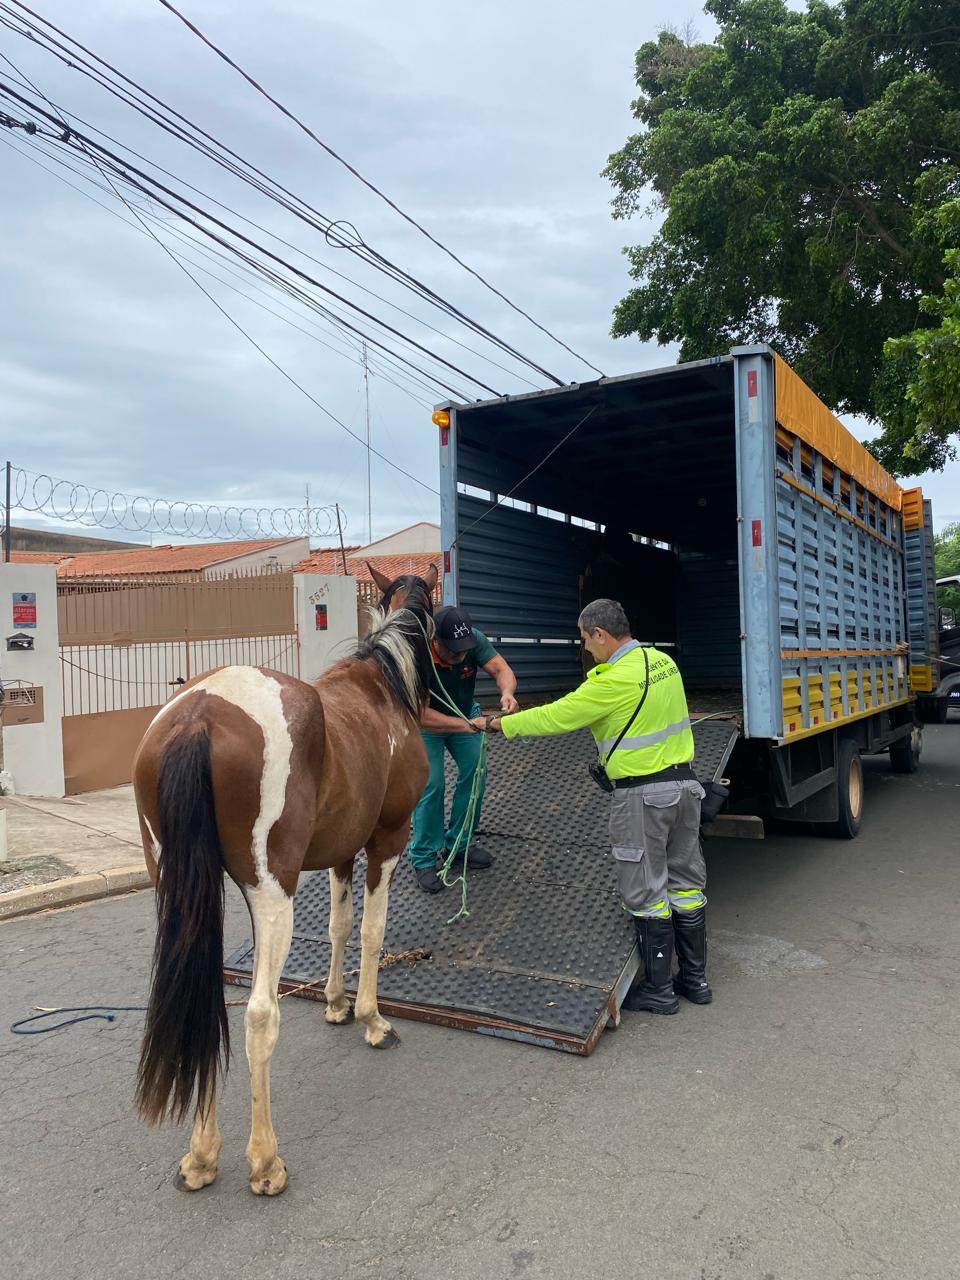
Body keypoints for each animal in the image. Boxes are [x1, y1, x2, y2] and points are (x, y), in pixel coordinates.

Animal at [131, 576, 435, 1192]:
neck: (379, 690)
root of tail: (199, 714)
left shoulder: (342, 853)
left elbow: (340, 925)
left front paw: (337, 1003)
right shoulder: (386, 841)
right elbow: (371, 933)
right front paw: (370, 1018)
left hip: (179, 890)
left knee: (208, 1005)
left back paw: (201, 1155)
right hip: (272, 897)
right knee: (258, 1016)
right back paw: (264, 1160)